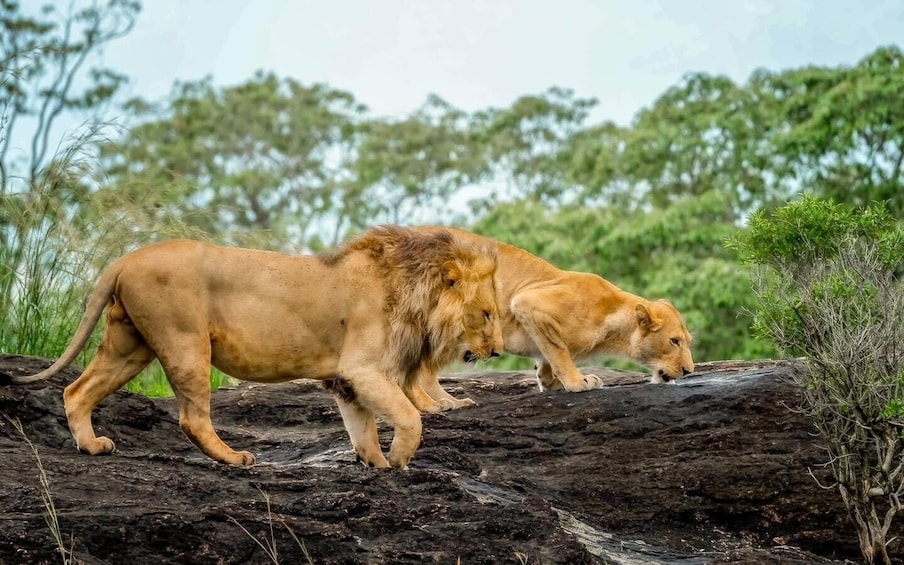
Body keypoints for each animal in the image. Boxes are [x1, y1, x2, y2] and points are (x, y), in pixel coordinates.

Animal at [5, 225, 502, 468]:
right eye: (487, 313)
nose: (497, 351)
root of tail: (126, 259)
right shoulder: (363, 368)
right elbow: (409, 416)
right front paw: (399, 460)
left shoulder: (346, 380)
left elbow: (361, 426)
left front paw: (374, 463)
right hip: (185, 341)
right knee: (191, 418)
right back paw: (235, 458)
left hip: (130, 345)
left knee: (76, 391)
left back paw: (91, 447)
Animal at [414, 227, 696, 412]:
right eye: (675, 341)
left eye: (686, 341)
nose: (689, 371)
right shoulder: (529, 302)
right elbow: (559, 351)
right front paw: (577, 382)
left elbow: (547, 354)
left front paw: (549, 382)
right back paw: (440, 404)